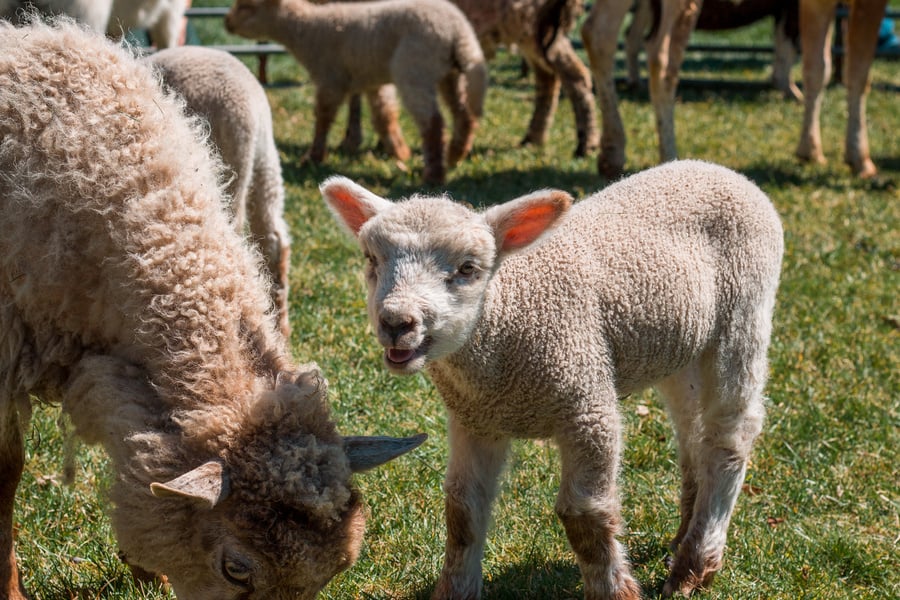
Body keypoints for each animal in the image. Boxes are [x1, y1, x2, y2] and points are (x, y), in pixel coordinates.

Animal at [225, 0, 492, 185]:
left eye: (248, 6)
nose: (227, 23)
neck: (307, 31)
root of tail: (459, 31)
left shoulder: (330, 78)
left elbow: (323, 118)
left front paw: (312, 157)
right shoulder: (373, 82)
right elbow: (384, 114)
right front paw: (399, 151)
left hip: (414, 68)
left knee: (433, 122)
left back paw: (434, 174)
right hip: (450, 73)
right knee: (464, 114)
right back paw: (455, 155)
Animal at [322, 161, 780, 600]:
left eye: (468, 268)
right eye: (371, 260)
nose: (396, 322)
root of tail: (720, 171)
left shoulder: (586, 402)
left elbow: (584, 516)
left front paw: (615, 591)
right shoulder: (476, 419)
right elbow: (462, 511)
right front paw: (454, 590)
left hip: (743, 313)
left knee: (730, 434)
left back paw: (695, 564)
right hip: (680, 349)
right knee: (693, 434)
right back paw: (684, 535)